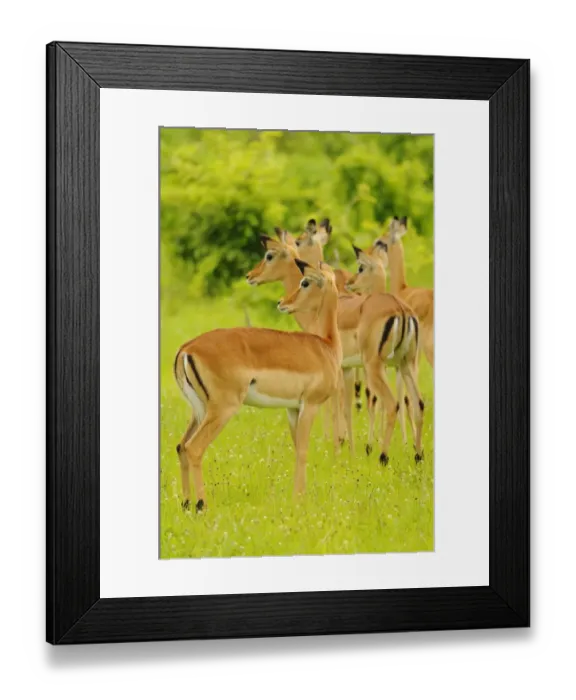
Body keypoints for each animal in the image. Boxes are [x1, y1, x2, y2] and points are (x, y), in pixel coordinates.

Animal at [174, 259, 342, 512]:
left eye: (305, 282)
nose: (282, 303)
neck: (326, 347)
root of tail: (187, 348)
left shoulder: (293, 408)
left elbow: (296, 449)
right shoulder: (310, 405)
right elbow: (303, 451)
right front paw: (298, 499)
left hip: (200, 410)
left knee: (181, 446)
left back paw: (186, 504)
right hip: (223, 409)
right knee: (194, 448)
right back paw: (202, 505)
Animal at [345, 246, 425, 465]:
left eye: (361, 267)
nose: (350, 282)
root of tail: (402, 310)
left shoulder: (369, 367)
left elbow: (371, 398)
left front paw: (369, 446)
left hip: (376, 366)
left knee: (392, 404)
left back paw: (383, 456)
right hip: (407, 364)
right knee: (418, 403)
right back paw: (418, 456)